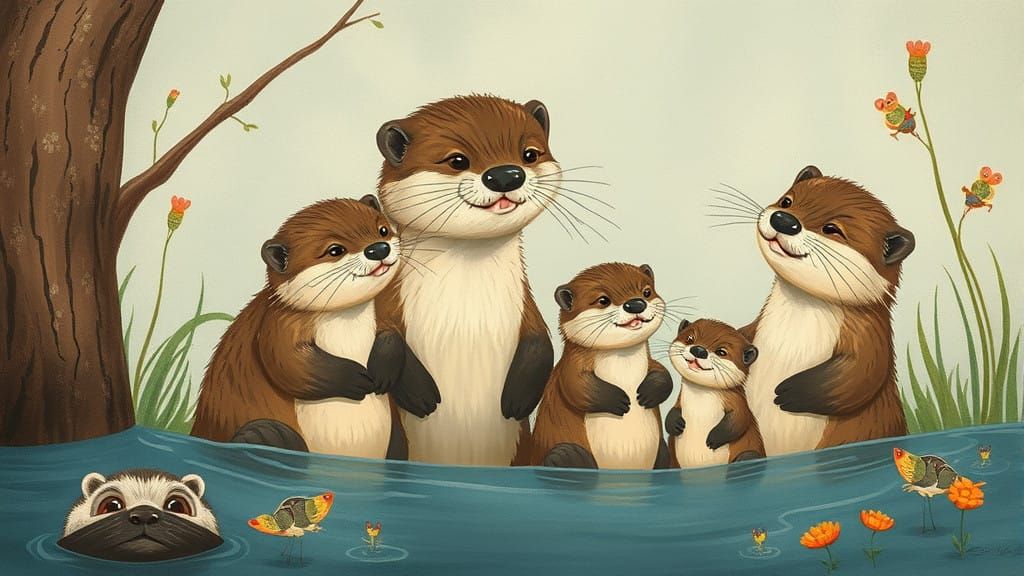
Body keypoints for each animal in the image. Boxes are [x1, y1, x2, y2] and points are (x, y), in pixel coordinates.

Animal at [192, 196, 416, 459]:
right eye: (335, 250)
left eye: (382, 229)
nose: (379, 249)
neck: (347, 324)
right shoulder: (277, 325)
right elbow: (287, 362)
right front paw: (356, 379)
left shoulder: (384, 311)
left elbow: (394, 334)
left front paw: (386, 371)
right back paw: (267, 437)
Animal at [373, 95, 557, 466]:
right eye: (457, 160)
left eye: (529, 153)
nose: (506, 175)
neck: (466, 314)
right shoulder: (389, 300)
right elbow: (384, 337)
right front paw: (421, 393)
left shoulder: (526, 305)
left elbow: (542, 341)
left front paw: (517, 400)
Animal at [530, 263, 673, 469]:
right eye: (603, 300)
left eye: (646, 291)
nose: (636, 304)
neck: (624, 367)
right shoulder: (570, 367)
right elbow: (575, 386)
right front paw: (618, 400)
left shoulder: (650, 362)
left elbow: (663, 372)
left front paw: (649, 391)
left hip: (661, 449)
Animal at [665, 319, 764, 468]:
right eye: (689, 338)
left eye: (721, 351)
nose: (699, 350)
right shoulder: (680, 400)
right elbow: (673, 410)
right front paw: (675, 423)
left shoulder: (737, 401)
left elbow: (740, 419)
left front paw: (714, 438)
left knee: (749, 456)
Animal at [742, 165, 914, 455]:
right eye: (787, 201)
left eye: (832, 229)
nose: (784, 220)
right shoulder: (756, 325)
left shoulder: (870, 335)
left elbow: (863, 374)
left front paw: (790, 392)